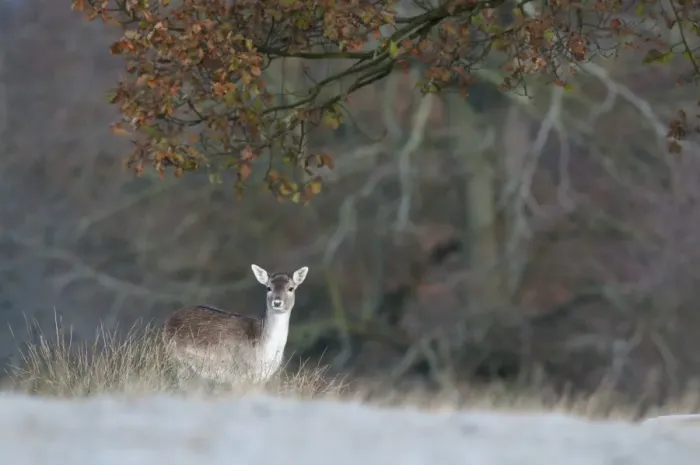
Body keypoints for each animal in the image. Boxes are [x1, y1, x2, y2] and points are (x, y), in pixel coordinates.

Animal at [162, 264, 309, 384]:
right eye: (268, 288)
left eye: (291, 288)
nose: (277, 302)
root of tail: (168, 320)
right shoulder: (239, 375)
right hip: (179, 361)